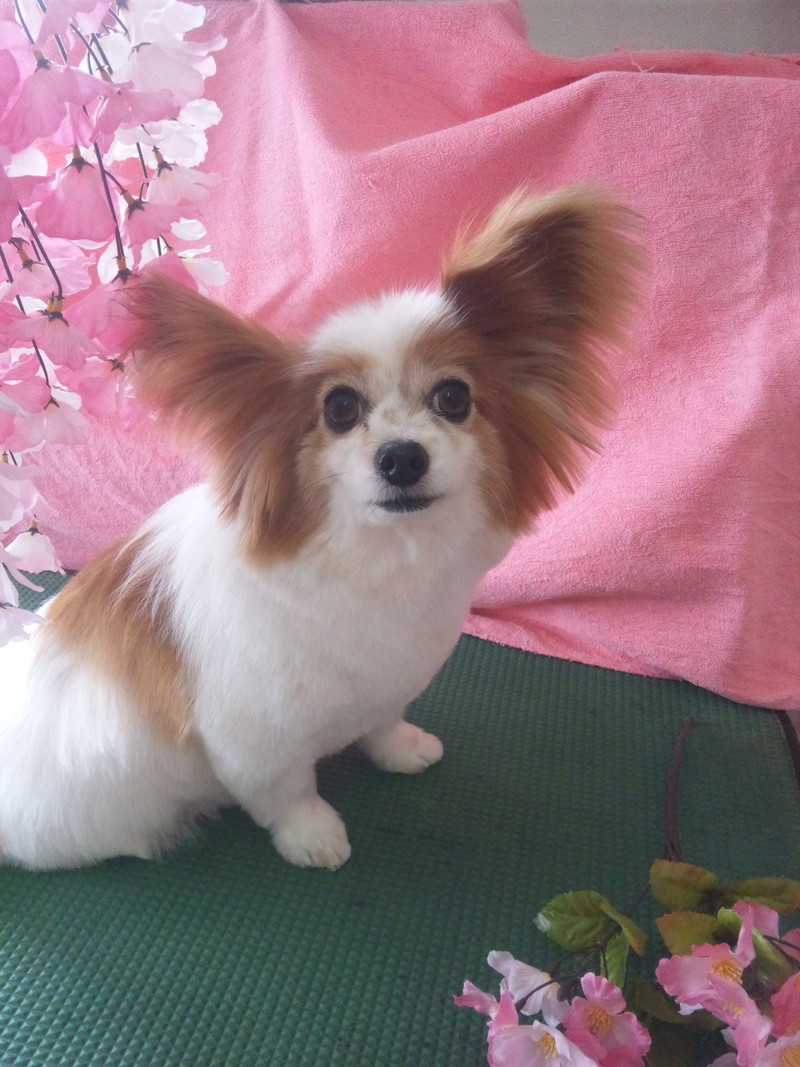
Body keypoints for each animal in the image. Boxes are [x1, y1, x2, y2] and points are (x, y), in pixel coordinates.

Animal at [0, 186, 640, 871]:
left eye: (453, 397)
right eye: (339, 408)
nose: (401, 457)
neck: (377, 564)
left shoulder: (389, 683)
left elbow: (384, 722)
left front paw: (402, 749)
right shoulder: (252, 738)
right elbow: (286, 791)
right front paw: (313, 837)